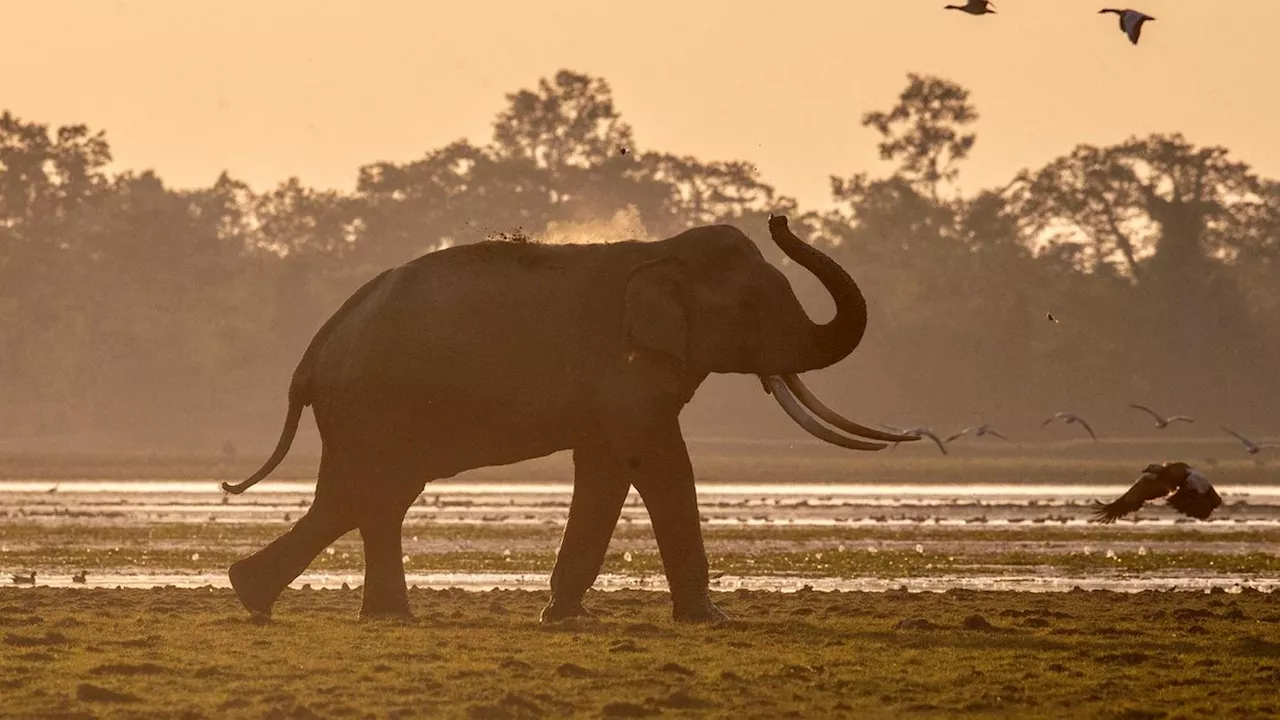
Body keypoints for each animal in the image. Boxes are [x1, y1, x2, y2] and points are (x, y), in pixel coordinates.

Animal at [222, 212, 921, 622]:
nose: (779, 216)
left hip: (357, 410)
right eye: (753, 307)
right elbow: (656, 459)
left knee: (349, 497)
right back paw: (373, 614)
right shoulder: (625, 371)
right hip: (377, 403)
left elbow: (608, 465)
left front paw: (563, 617)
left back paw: (259, 596)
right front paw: (711, 622)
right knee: (379, 494)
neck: (661, 253)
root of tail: (316, 349)